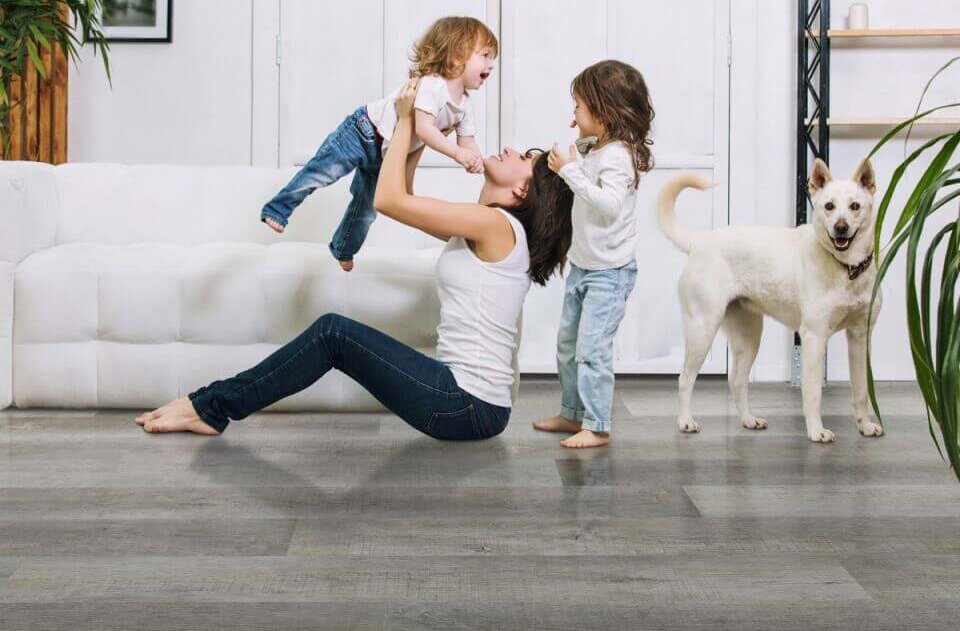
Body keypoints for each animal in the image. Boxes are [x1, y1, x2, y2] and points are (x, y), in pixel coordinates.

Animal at [660, 160, 884, 442]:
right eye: (829, 206)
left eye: (855, 206)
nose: (840, 227)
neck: (847, 268)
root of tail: (701, 240)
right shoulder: (814, 337)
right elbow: (813, 393)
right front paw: (816, 431)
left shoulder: (860, 337)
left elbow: (862, 389)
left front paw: (865, 426)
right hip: (703, 329)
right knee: (685, 379)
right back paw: (685, 421)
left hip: (749, 336)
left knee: (737, 381)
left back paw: (748, 420)